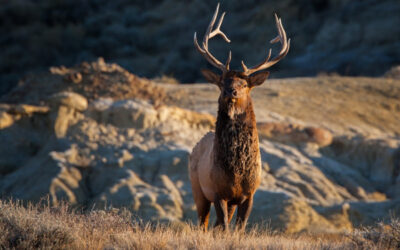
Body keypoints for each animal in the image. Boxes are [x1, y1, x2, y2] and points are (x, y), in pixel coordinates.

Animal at [189, 2, 290, 231]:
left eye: (244, 84)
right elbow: (226, 227)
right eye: (222, 82)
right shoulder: (217, 191)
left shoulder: (249, 193)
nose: (231, 91)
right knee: (204, 223)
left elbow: (239, 229)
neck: (236, 172)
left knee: (215, 224)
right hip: (198, 189)